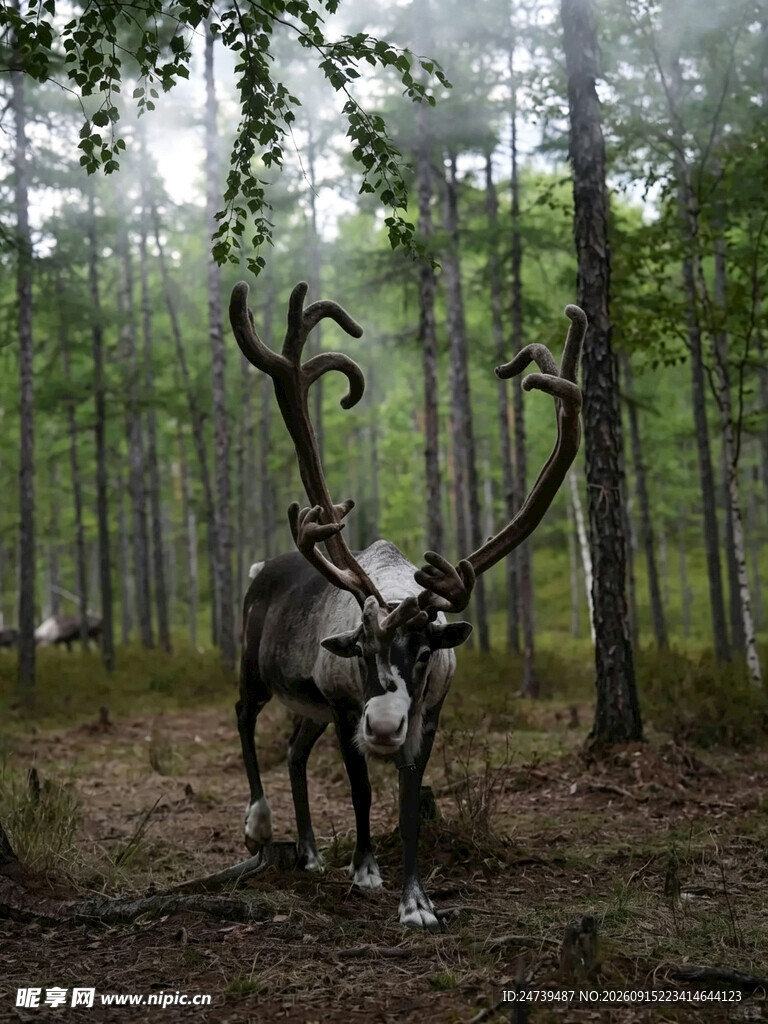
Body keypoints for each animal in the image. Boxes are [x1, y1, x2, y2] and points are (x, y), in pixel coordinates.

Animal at [229, 281, 585, 931]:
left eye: (424, 651)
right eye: (363, 648)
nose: (385, 725)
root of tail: (263, 567)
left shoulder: (430, 712)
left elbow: (410, 797)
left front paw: (416, 901)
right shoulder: (346, 706)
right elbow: (362, 789)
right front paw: (367, 870)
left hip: (310, 708)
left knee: (294, 751)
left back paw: (310, 852)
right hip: (255, 663)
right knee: (244, 714)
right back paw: (259, 823)